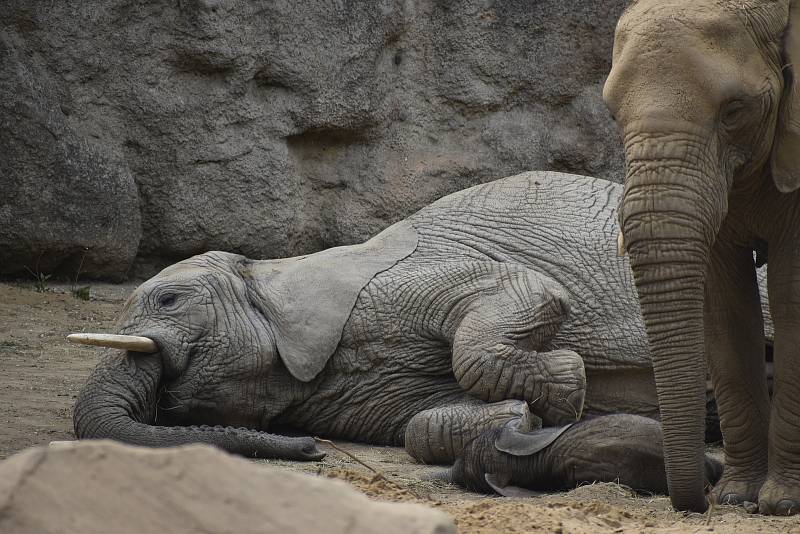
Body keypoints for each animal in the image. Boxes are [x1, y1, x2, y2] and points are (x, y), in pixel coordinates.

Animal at [72, 173, 772, 468]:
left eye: (166, 300)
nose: (311, 451)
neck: (276, 274)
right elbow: (418, 425)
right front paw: (522, 419)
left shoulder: (397, 283)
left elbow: (522, 289)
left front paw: (567, 387)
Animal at [608, 1, 800, 520]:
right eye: (613, 113)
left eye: (734, 110)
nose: (700, 501)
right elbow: (723, 303)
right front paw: (738, 496)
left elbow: (792, 295)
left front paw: (782, 503)